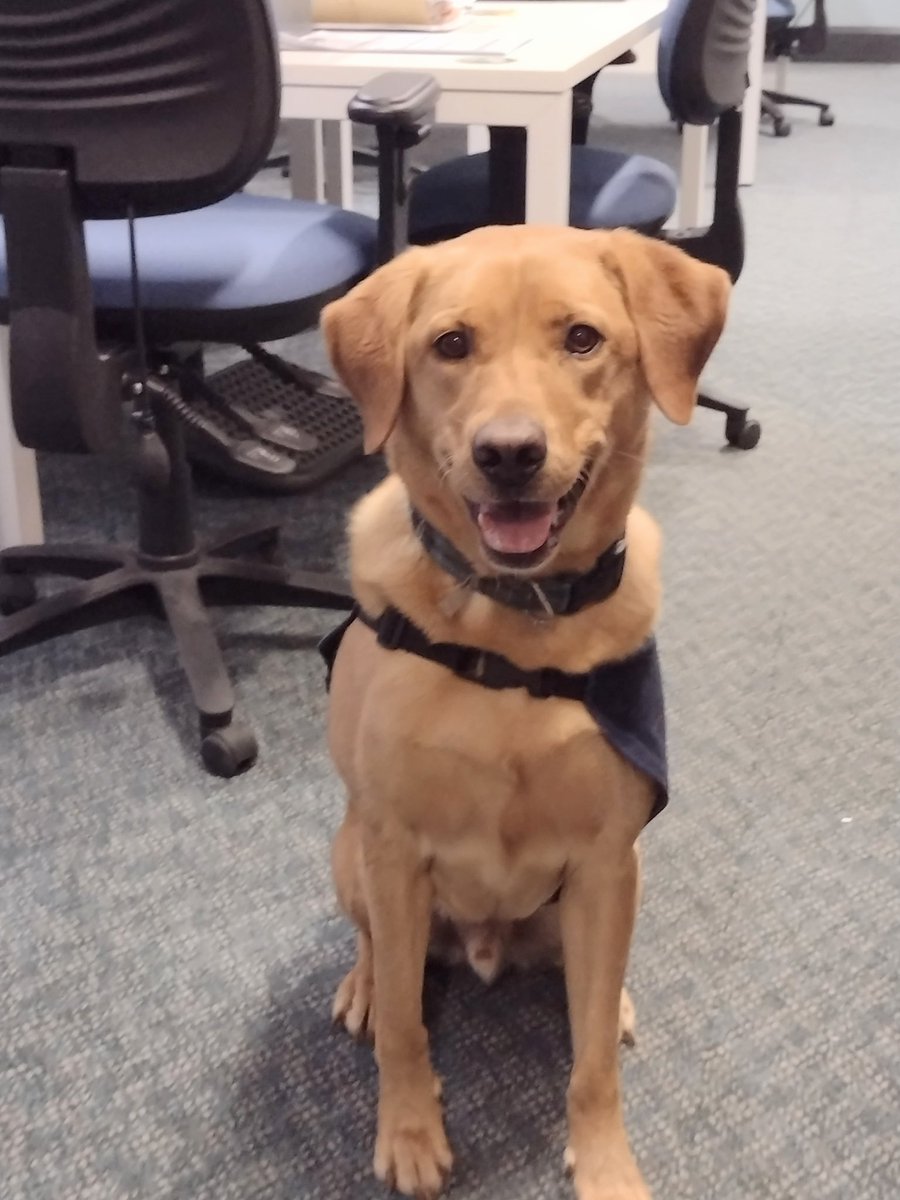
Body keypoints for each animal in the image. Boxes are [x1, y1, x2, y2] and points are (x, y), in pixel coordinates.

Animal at [321, 226, 729, 1200]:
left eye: (582, 339)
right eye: (450, 344)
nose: (509, 453)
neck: (513, 625)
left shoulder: (606, 860)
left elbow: (591, 1066)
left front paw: (607, 1163)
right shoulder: (393, 850)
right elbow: (407, 1026)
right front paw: (410, 1132)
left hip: (614, 887)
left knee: (592, 990)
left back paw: (612, 999)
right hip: (349, 854)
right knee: (378, 953)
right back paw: (363, 985)